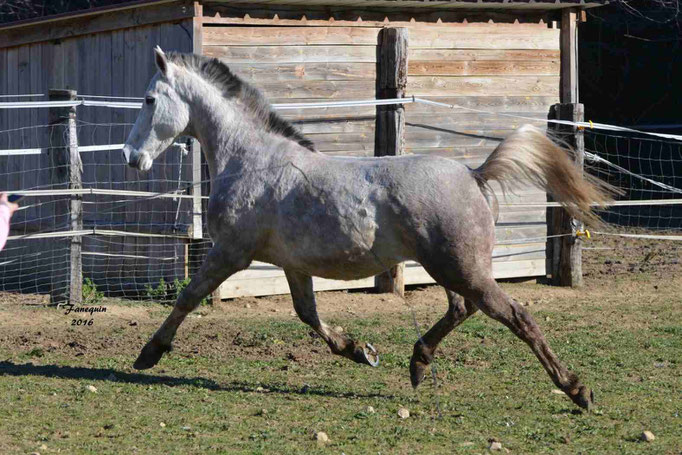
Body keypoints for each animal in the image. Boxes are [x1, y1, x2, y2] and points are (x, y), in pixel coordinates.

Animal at [123, 48, 612, 412]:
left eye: (149, 99)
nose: (131, 156)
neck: (249, 159)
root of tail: (474, 175)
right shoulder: (293, 265)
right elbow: (308, 314)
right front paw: (360, 350)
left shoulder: (230, 251)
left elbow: (188, 297)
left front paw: (149, 353)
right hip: (452, 267)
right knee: (462, 308)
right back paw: (417, 363)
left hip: (460, 267)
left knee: (514, 315)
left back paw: (577, 390)